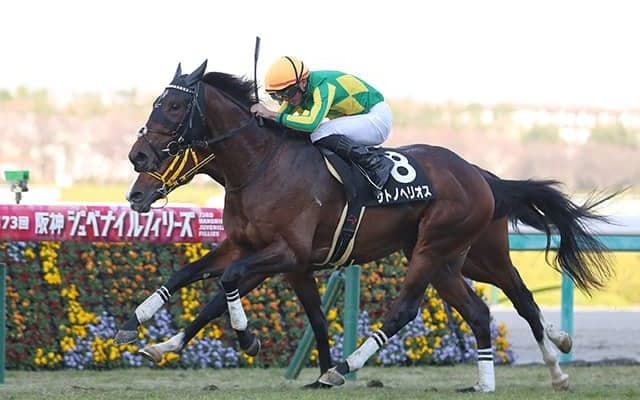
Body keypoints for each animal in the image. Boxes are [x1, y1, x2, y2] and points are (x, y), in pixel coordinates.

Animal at [123, 60, 614, 392]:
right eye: (156, 103)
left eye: (173, 105)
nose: (137, 161)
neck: (261, 164)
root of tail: (479, 174)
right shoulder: (256, 250)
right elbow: (195, 279)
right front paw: (146, 332)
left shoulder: (287, 252)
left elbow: (225, 285)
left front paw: (249, 339)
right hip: (455, 259)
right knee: (491, 307)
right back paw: (504, 376)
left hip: (440, 249)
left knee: (411, 309)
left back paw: (349, 366)